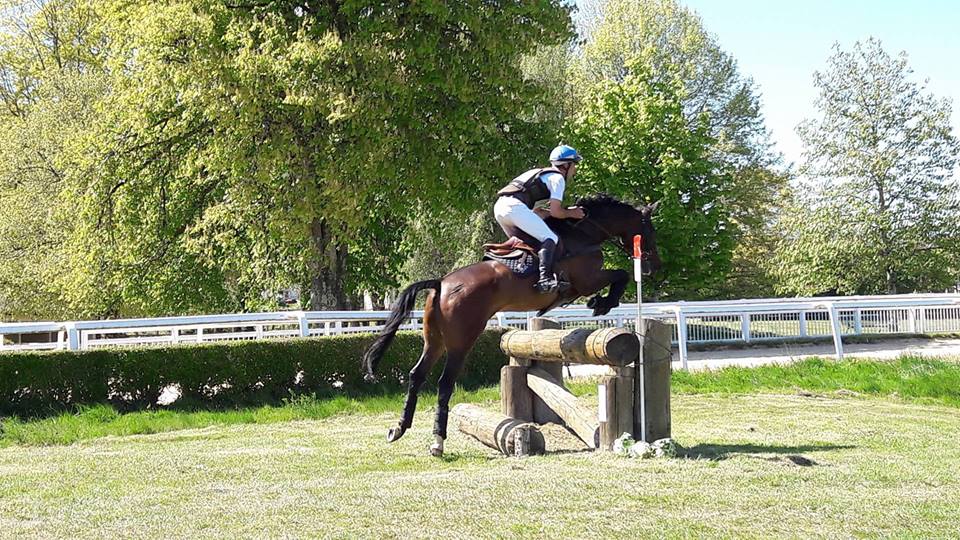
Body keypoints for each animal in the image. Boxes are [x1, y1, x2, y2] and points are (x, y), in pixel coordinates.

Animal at [360, 195, 660, 456]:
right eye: (648, 228)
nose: (653, 267)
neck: (584, 234)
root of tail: (441, 283)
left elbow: (619, 276)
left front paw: (601, 302)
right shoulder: (587, 280)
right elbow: (620, 275)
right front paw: (602, 303)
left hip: (434, 340)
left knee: (416, 375)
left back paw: (399, 429)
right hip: (462, 340)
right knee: (445, 383)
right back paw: (438, 442)